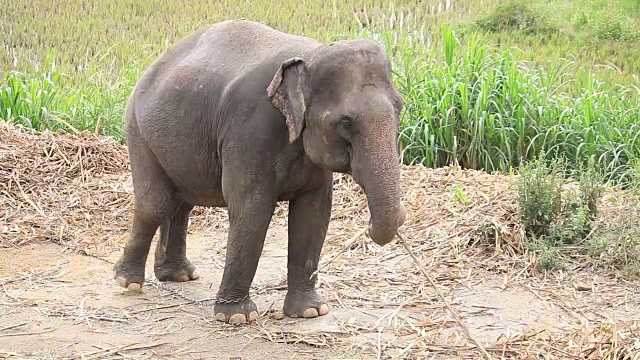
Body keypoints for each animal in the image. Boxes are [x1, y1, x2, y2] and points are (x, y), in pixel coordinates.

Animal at [114, 18, 404, 324]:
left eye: (400, 108)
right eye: (345, 123)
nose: (371, 224)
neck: (310, 54)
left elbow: (313, 214)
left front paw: (310, 311)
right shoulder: (249, 130)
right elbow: (252, 210)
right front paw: (236, 317)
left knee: (181, 204)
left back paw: (179, 275)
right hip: (138, 133)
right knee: (155, 205)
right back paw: (128, 282)